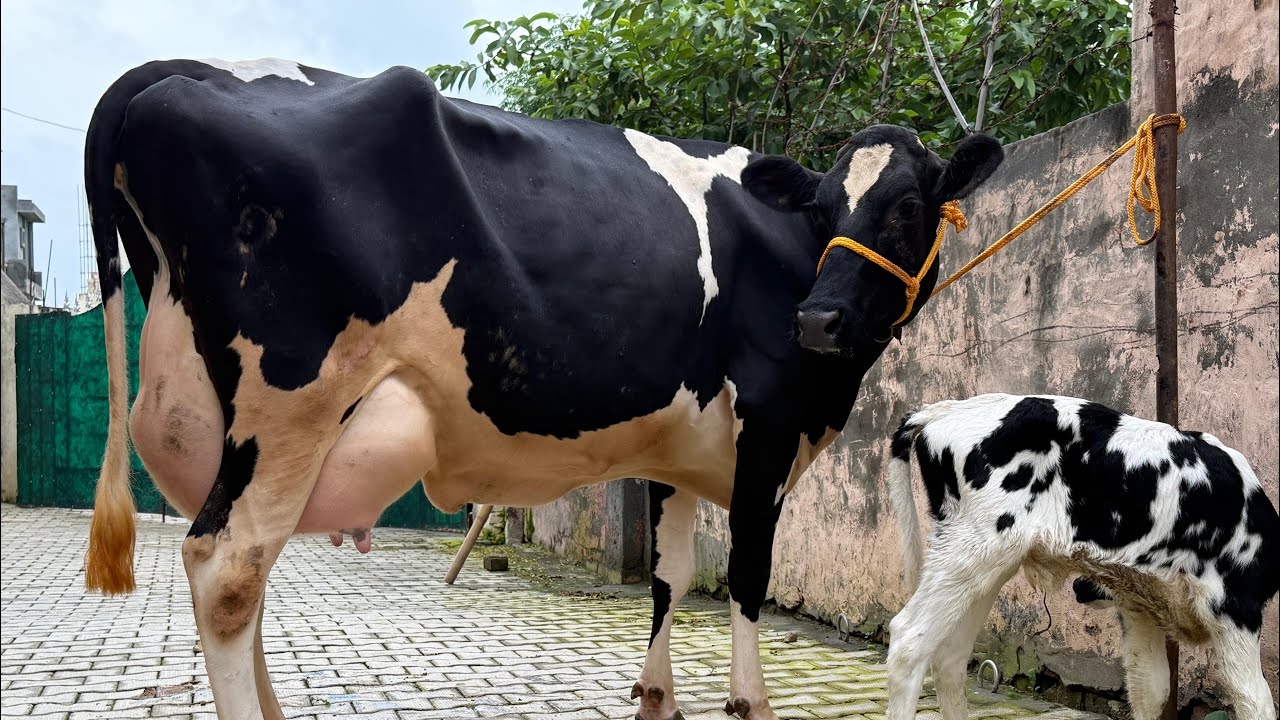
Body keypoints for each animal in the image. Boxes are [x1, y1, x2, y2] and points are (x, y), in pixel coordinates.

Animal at [82, 58, 1003, 720]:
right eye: (821, 208)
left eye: (908, 207)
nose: (817, 321)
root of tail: (189, 72)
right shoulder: (770, 426)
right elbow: (746, 572)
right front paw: (749, 701)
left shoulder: (673, 450)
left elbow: (669, 573)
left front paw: (657, 697)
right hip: (291, 403)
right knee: (229, 571)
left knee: (249, 572)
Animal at [887, 393, 1279, 720]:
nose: (1079, 587)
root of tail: (943, 410)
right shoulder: (1235, 607)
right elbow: (1253, 697)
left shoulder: (1139, 603)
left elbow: (1151, 690)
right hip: (975, 548)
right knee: (909, 641)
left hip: (982, 564)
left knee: (949, 655)